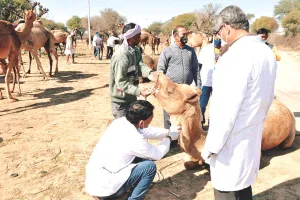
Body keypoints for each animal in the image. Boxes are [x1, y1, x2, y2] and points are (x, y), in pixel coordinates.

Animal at [149, 72, 296, 170]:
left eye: (170, 91)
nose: (155, 73)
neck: (202, 140)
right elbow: (187, 163)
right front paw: (198, 163)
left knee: (285, 144)